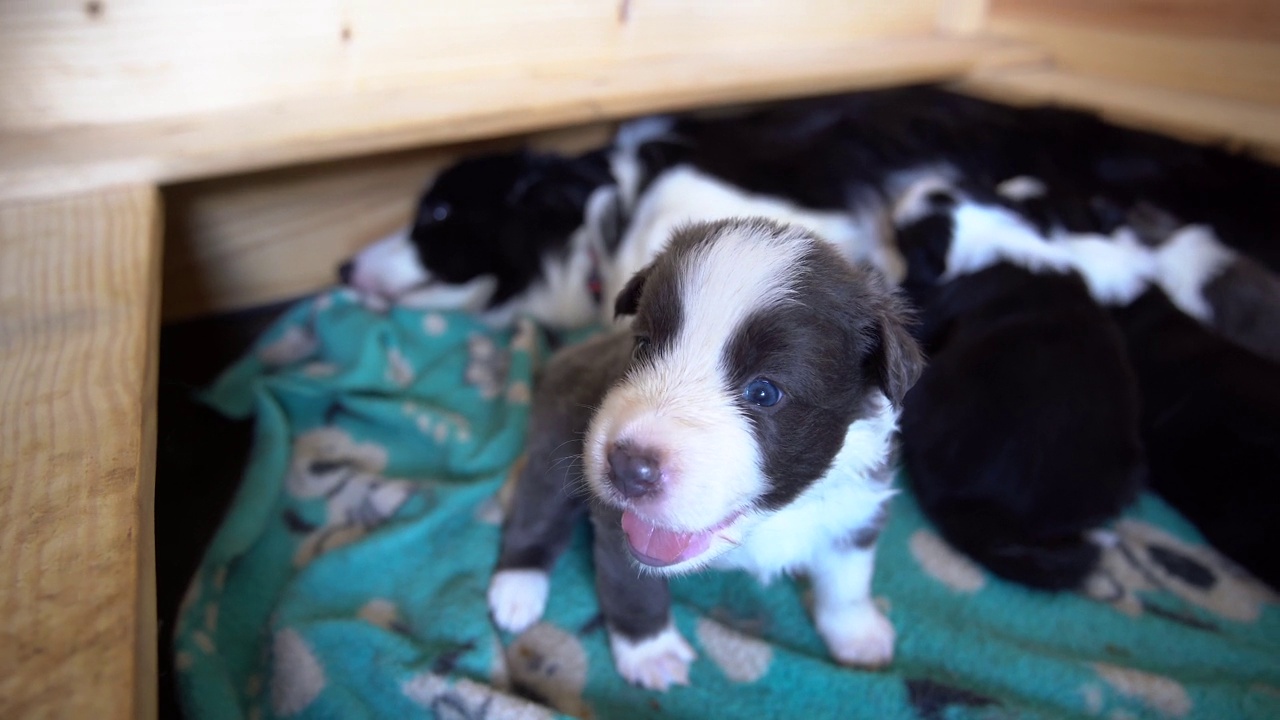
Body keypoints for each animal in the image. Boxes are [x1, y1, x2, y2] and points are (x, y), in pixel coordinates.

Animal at [486, 217, 921, 691]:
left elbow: (847, 579)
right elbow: (632, 587)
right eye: (643, 347)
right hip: (558, 436)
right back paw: (517, 586)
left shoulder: (858, 503)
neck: (767, 520)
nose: (627, 468)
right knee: (538, 507)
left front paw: (858, 634)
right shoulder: (618, 524)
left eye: (765, 392)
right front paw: (650, 652)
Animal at [890, 178, 1152, 589]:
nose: (918, 184)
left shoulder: (934, 303)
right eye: (966, 183)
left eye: (906, 236)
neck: (1003, 234)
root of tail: (981, 508)